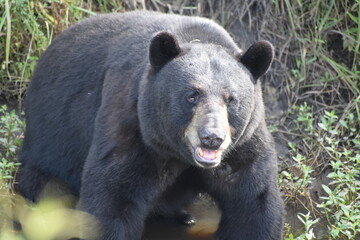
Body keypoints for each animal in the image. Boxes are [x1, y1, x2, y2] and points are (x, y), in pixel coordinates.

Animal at [19, 10, 284, 240]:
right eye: (192, 95)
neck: (178, 153)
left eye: (230, 99)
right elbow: (111, 200)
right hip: (51, 141)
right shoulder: (136, 128)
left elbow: (252, 204)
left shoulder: (243, 145)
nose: (212, 138)